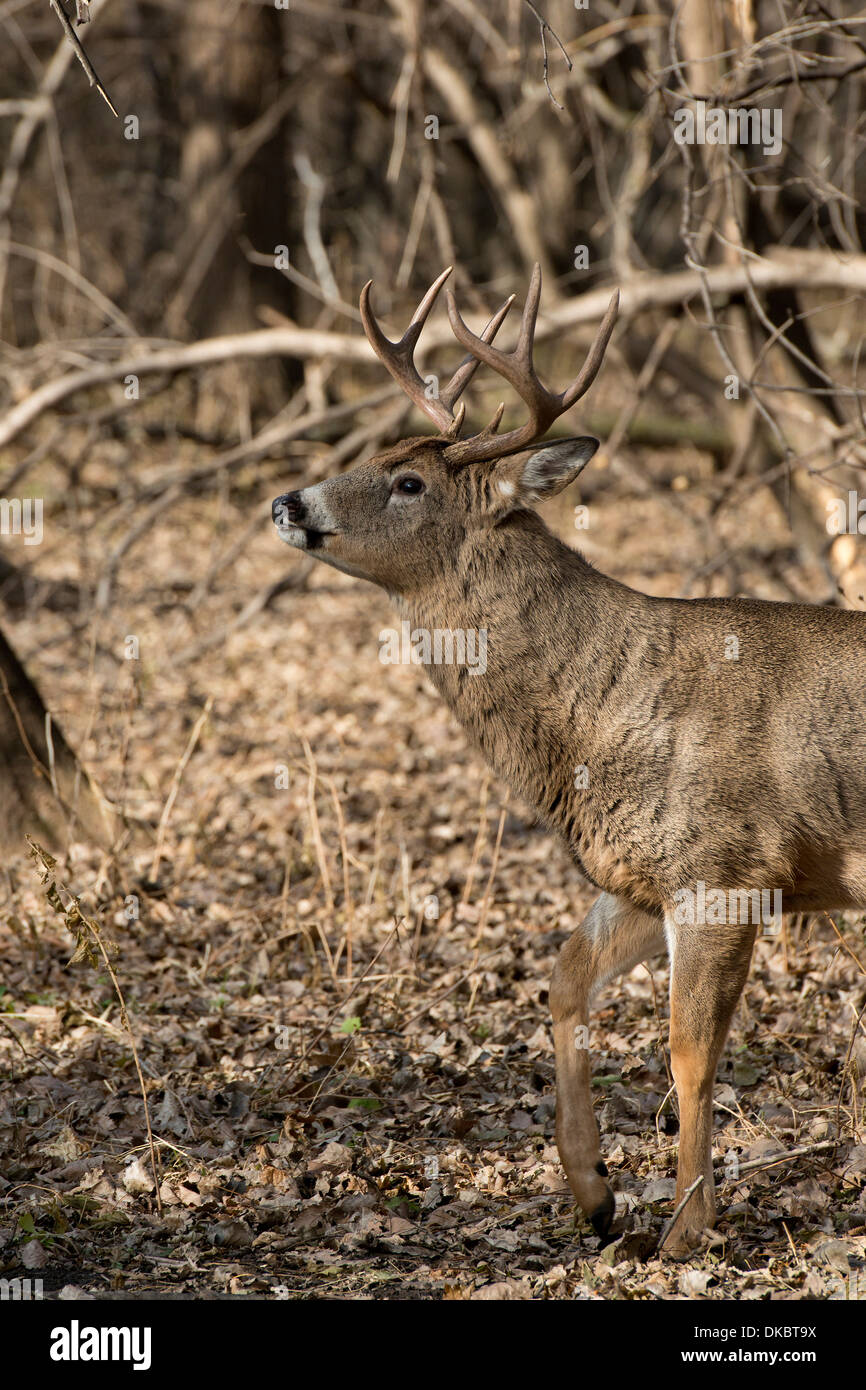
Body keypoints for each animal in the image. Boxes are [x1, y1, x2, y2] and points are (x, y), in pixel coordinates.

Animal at [272, 265, 866, 1255]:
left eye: (407, 480)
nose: (288, 503)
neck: (598, 720)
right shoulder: (639, 878)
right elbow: (561, 984)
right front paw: (594, 1195)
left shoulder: (727, 867)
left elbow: (689, 1051)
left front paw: (684, 1229)